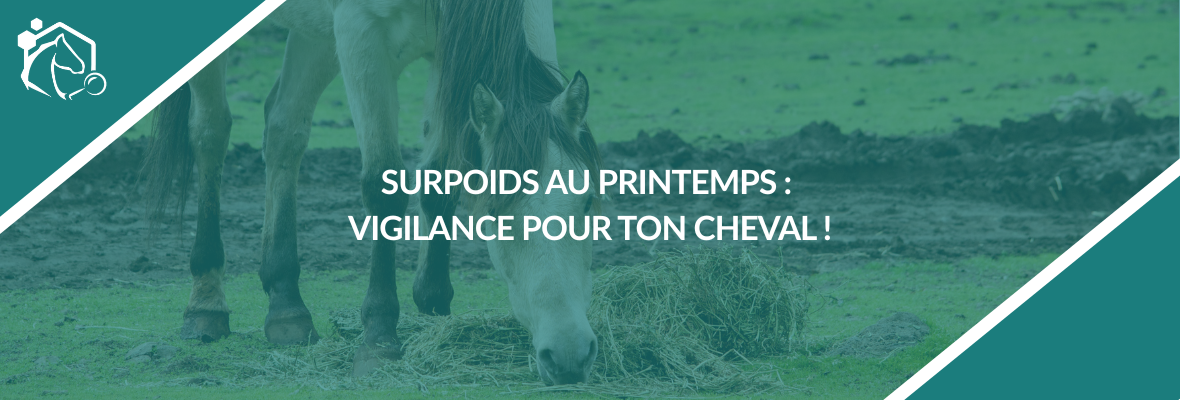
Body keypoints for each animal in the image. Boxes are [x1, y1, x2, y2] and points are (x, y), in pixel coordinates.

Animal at [142, 0, 602, 385]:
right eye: (494, 213)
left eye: (588, 202)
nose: (569, 354)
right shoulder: (360, 33)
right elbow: (384, 185)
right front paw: (379, 337)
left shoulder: (446, 52)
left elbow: (441, 176)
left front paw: (434, 305)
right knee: (210, 131)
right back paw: (206, 303)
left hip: (315, 34)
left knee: (284, 127)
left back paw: (287, 305)